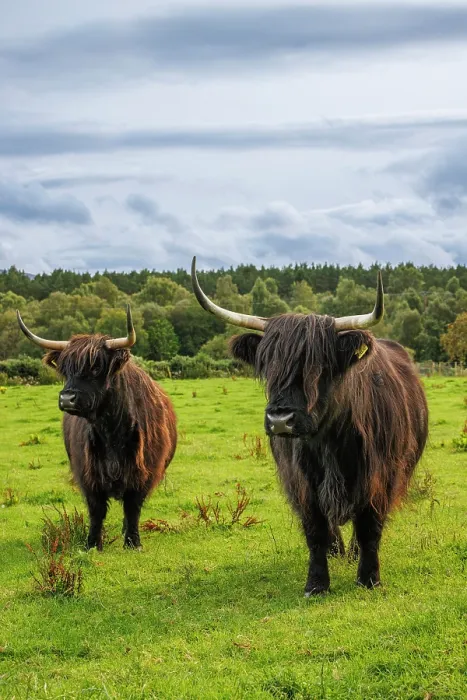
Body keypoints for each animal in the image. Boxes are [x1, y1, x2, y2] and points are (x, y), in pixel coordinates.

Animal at [17, 306, 177, 551]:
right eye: (65, 370)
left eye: (96, 367)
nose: (67, 399)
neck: (111, 430)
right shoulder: (87, 473)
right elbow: (96, 510)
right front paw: (92, 544)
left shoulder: (143, 473)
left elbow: (132, 508)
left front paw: (133, 543)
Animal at [191, 257, 428, 595]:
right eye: (269, 366)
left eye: (319, 368)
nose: (280, 420)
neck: (328, 441)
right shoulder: (301, 482)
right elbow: (315, 530)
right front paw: (316, 583)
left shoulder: (382, 476)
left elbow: (370, 527)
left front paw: (369, 578)